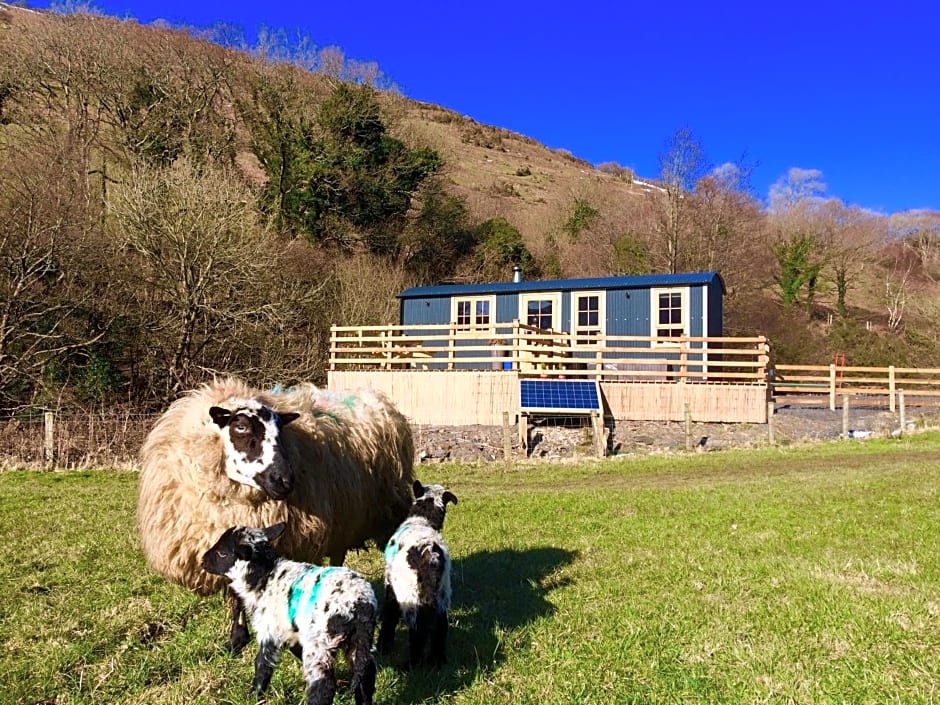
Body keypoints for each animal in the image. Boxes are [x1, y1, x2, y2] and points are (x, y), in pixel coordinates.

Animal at [139, 380, 414, 648]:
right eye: (240, 427)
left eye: (280, 431)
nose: (285, 480)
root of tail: (374, 396)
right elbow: (235, 592)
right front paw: (237, 638)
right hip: (344, 520)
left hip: (388, 511)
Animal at [203, 524, 378, 704]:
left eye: (222, 553)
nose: (202, 561)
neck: (264, 576)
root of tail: (361, 606)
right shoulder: (291, 630)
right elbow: (295, 650)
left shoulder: (269, 631)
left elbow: (262, 665)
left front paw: (255, 696)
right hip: (357, 641)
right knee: (366, 673)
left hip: (322, 642)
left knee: (324, 685)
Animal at [378, 478, 458, 664]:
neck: (422, 520)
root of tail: (429, 554)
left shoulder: (390, 583)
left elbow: (389, 613)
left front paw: (383, 645)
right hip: (442, 593)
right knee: (440, 627)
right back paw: (437, 661)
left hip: (410, 595)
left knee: (418, 630)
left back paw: (412, 664)